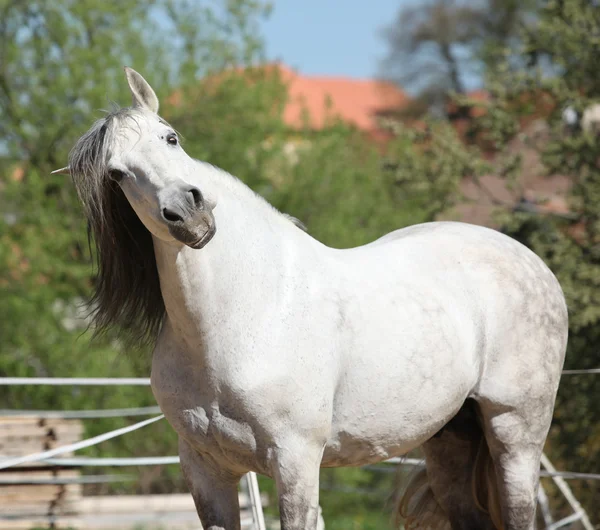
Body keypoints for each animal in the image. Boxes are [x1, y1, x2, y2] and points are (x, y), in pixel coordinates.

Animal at [58, 67, 568, 528]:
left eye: (171, 138)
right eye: (118, 174)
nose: (188, 213)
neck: (241, 315)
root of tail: (529, 260)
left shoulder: (296, 460)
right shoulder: (206, 471)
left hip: (516, 434)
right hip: (449, 438)